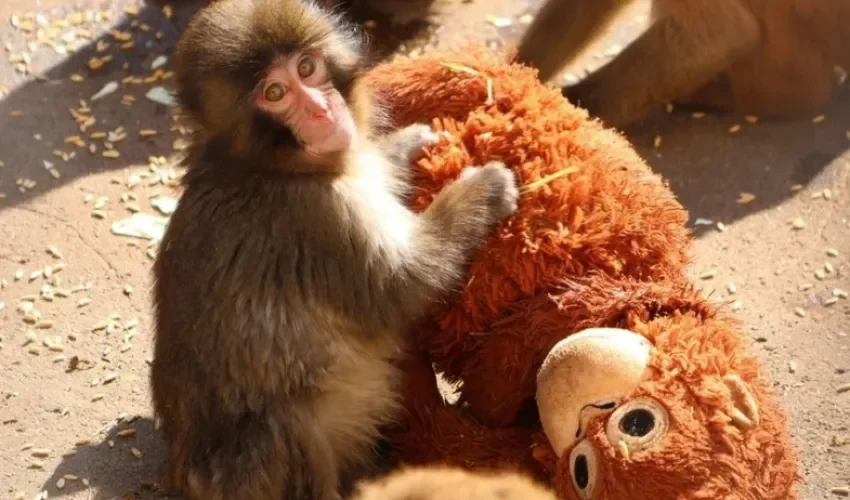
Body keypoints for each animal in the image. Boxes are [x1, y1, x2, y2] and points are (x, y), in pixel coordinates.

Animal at [148, 0, 520, 499]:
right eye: (275, 92)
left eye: (307, 67)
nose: (322, 110)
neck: (269, 167)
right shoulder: (318, 217)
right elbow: (400, 287)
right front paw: (482, 190)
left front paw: (404, 145)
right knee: (283, 423)